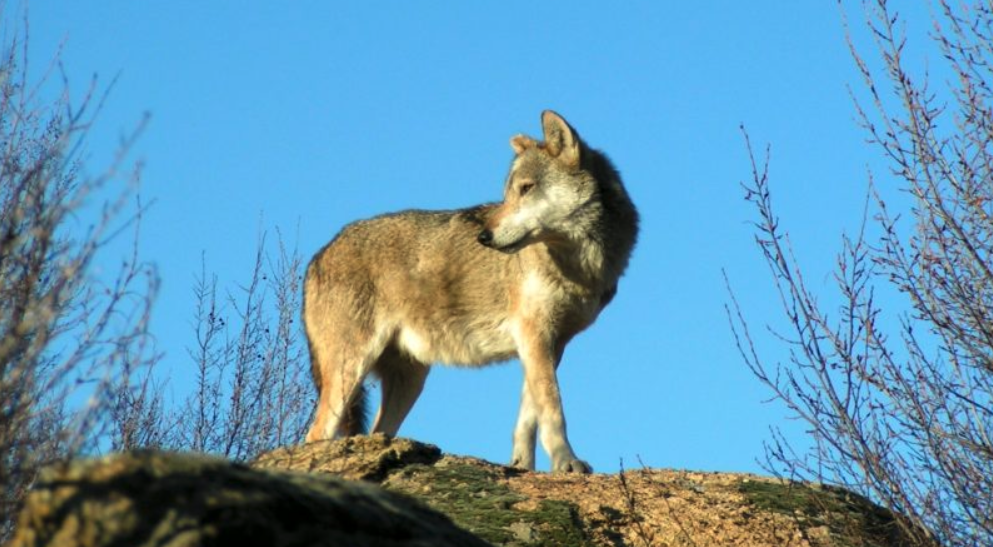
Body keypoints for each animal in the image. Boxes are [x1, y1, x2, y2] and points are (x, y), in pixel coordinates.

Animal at [302, 110, 640, 470]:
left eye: (526, 188)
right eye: (507, 194)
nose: (484, 237)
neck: (580, 266)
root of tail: (317, 256)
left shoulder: (548, 343)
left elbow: (528, 418)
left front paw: (521, 467)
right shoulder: (534, 335)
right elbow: (553, 409)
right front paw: (567, 462)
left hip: (410, 381)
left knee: (374, 431)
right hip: (350, 372)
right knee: (315, 434)